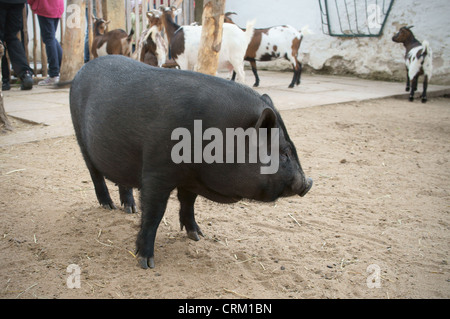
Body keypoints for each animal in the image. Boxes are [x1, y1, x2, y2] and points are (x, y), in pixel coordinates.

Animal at [70, 55, 312, 270]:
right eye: (284, 153)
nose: (308, 182)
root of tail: (82, 69)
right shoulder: (157, 170)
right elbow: (154, 213)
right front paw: (146, 263)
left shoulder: (191, 178)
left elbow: (188, 203)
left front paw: (197, 236)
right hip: (80, 137)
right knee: (95, 175)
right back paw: (108, 206)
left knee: (123, 180)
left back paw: (130, 209)